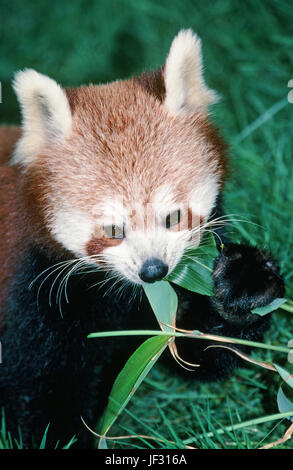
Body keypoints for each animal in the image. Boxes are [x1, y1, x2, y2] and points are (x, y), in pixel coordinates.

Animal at [0, 29, 282, 448]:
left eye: (173, 216)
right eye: (113, 230)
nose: (153, 271)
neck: (121, 296)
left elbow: (193, 352)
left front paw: (244, 284)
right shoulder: (32, 285)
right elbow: (37, 391)